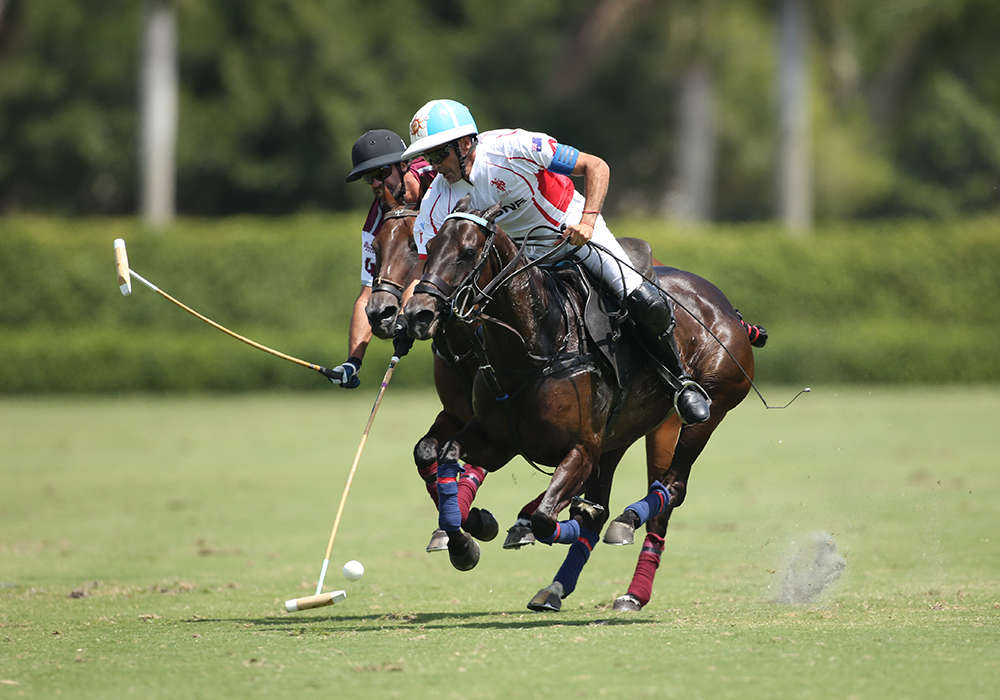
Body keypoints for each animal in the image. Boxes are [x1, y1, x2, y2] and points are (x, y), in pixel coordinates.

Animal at [402, 197, 760, 608]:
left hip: (701, 412)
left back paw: (626, 540)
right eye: (428, 248)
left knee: (671, 486)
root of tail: (728, 308)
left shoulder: (581, 447)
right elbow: (447, 456)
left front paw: (529, 524)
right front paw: (467, 537)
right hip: (621, 433)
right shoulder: (497, 439)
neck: (535, 344)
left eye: (467, 252)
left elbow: (546, 519)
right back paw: (561, 583)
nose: (417, 314)